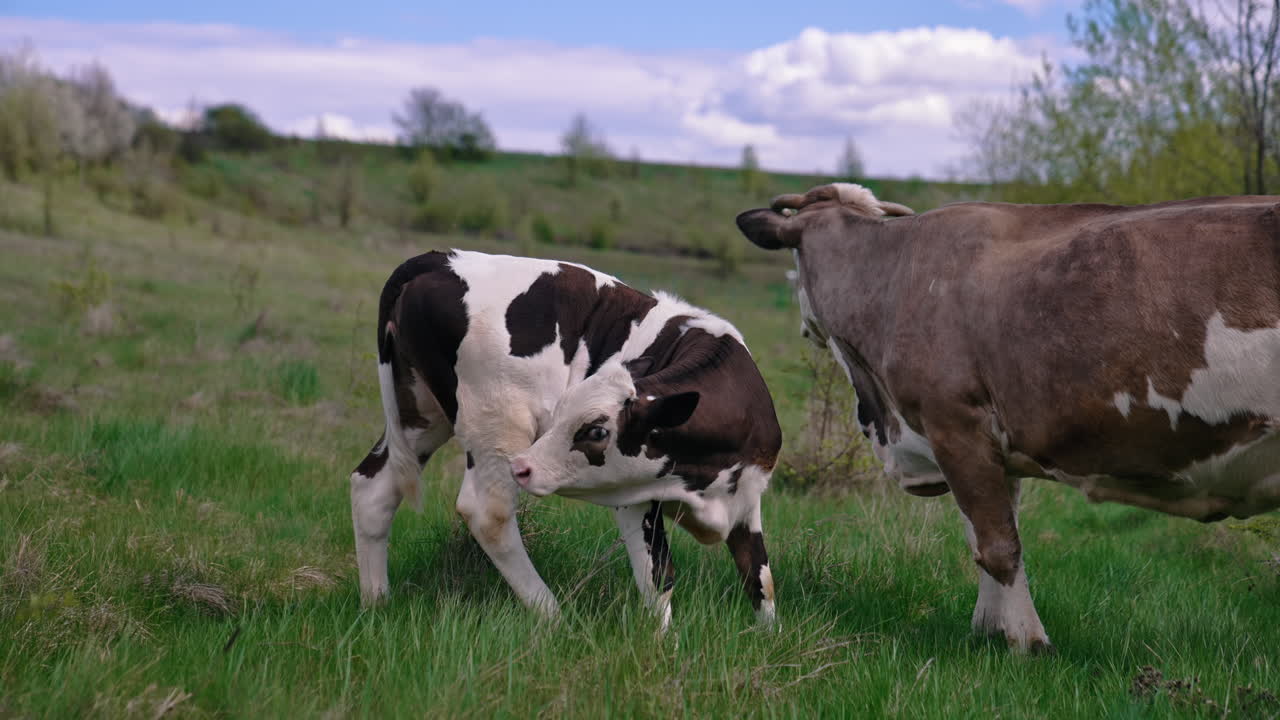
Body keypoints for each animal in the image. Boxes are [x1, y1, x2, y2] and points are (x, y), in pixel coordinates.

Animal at [350, 250, 781, 629]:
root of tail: (437, 260)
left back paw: (376, 602)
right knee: (488, 514)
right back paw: (553, 617)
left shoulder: (747, 498)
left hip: (420, 416)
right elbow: (657, 576)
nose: (524, 466)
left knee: (373, 488)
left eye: (596, 431)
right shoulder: (633, 497)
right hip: (496, 423)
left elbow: (760, 579)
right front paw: (663, 647)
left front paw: (767, 640)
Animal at [736, 182, 1280, 653]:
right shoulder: (985, 446)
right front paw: (988, 629)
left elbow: (998, 546)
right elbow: (985, 536)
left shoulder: (954, 423)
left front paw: (1025, 643)